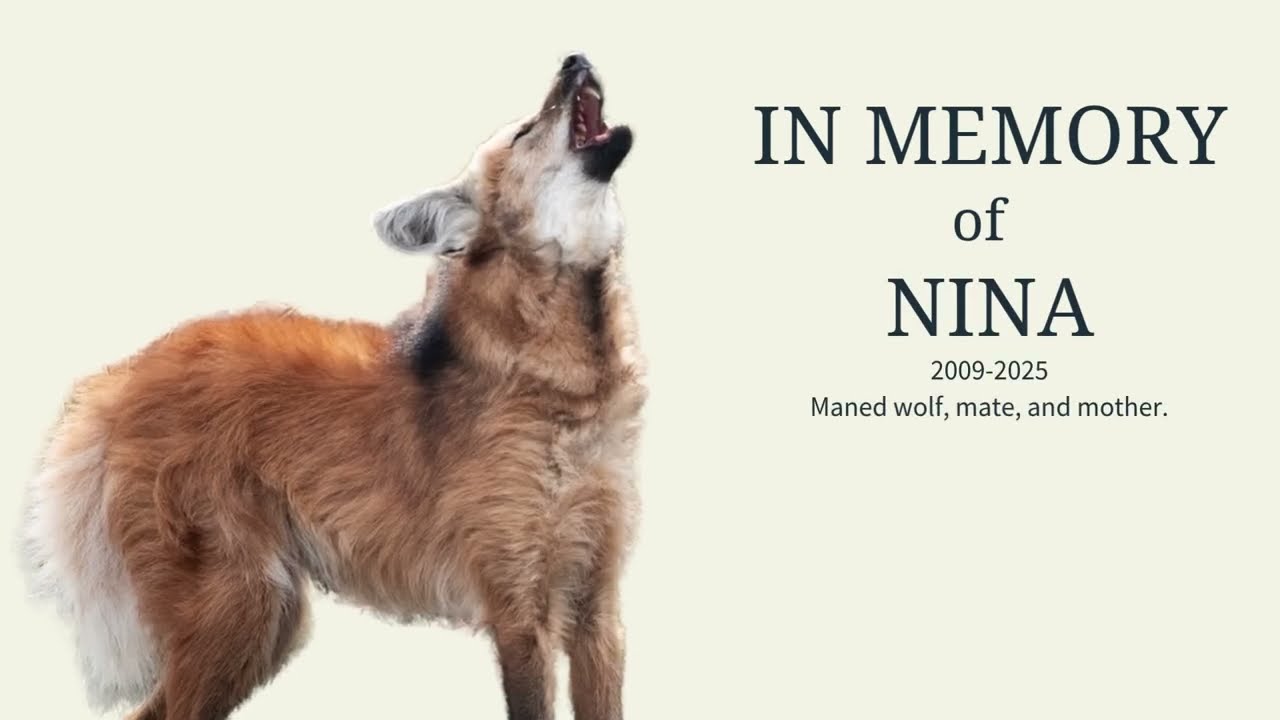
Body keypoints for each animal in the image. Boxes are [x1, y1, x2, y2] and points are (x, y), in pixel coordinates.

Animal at [20, 53, 644, 720]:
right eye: (528, 130)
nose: (574, 59)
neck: (570, 388)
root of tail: (121, 376)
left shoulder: (598, 606)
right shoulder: (519, 607)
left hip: (266, 618)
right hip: (238, 606)